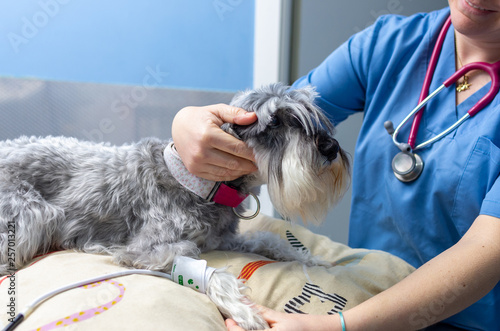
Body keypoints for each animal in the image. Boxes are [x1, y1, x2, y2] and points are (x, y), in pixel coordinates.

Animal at [0, 83, 350, 330]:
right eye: (274, 122)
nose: (331, 147)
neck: (197, 183)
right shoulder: (146, 250)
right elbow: (206, 269)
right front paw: (243, 311)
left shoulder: (222, 238)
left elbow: (268, 239)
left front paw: (313, 258)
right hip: (35, 217)